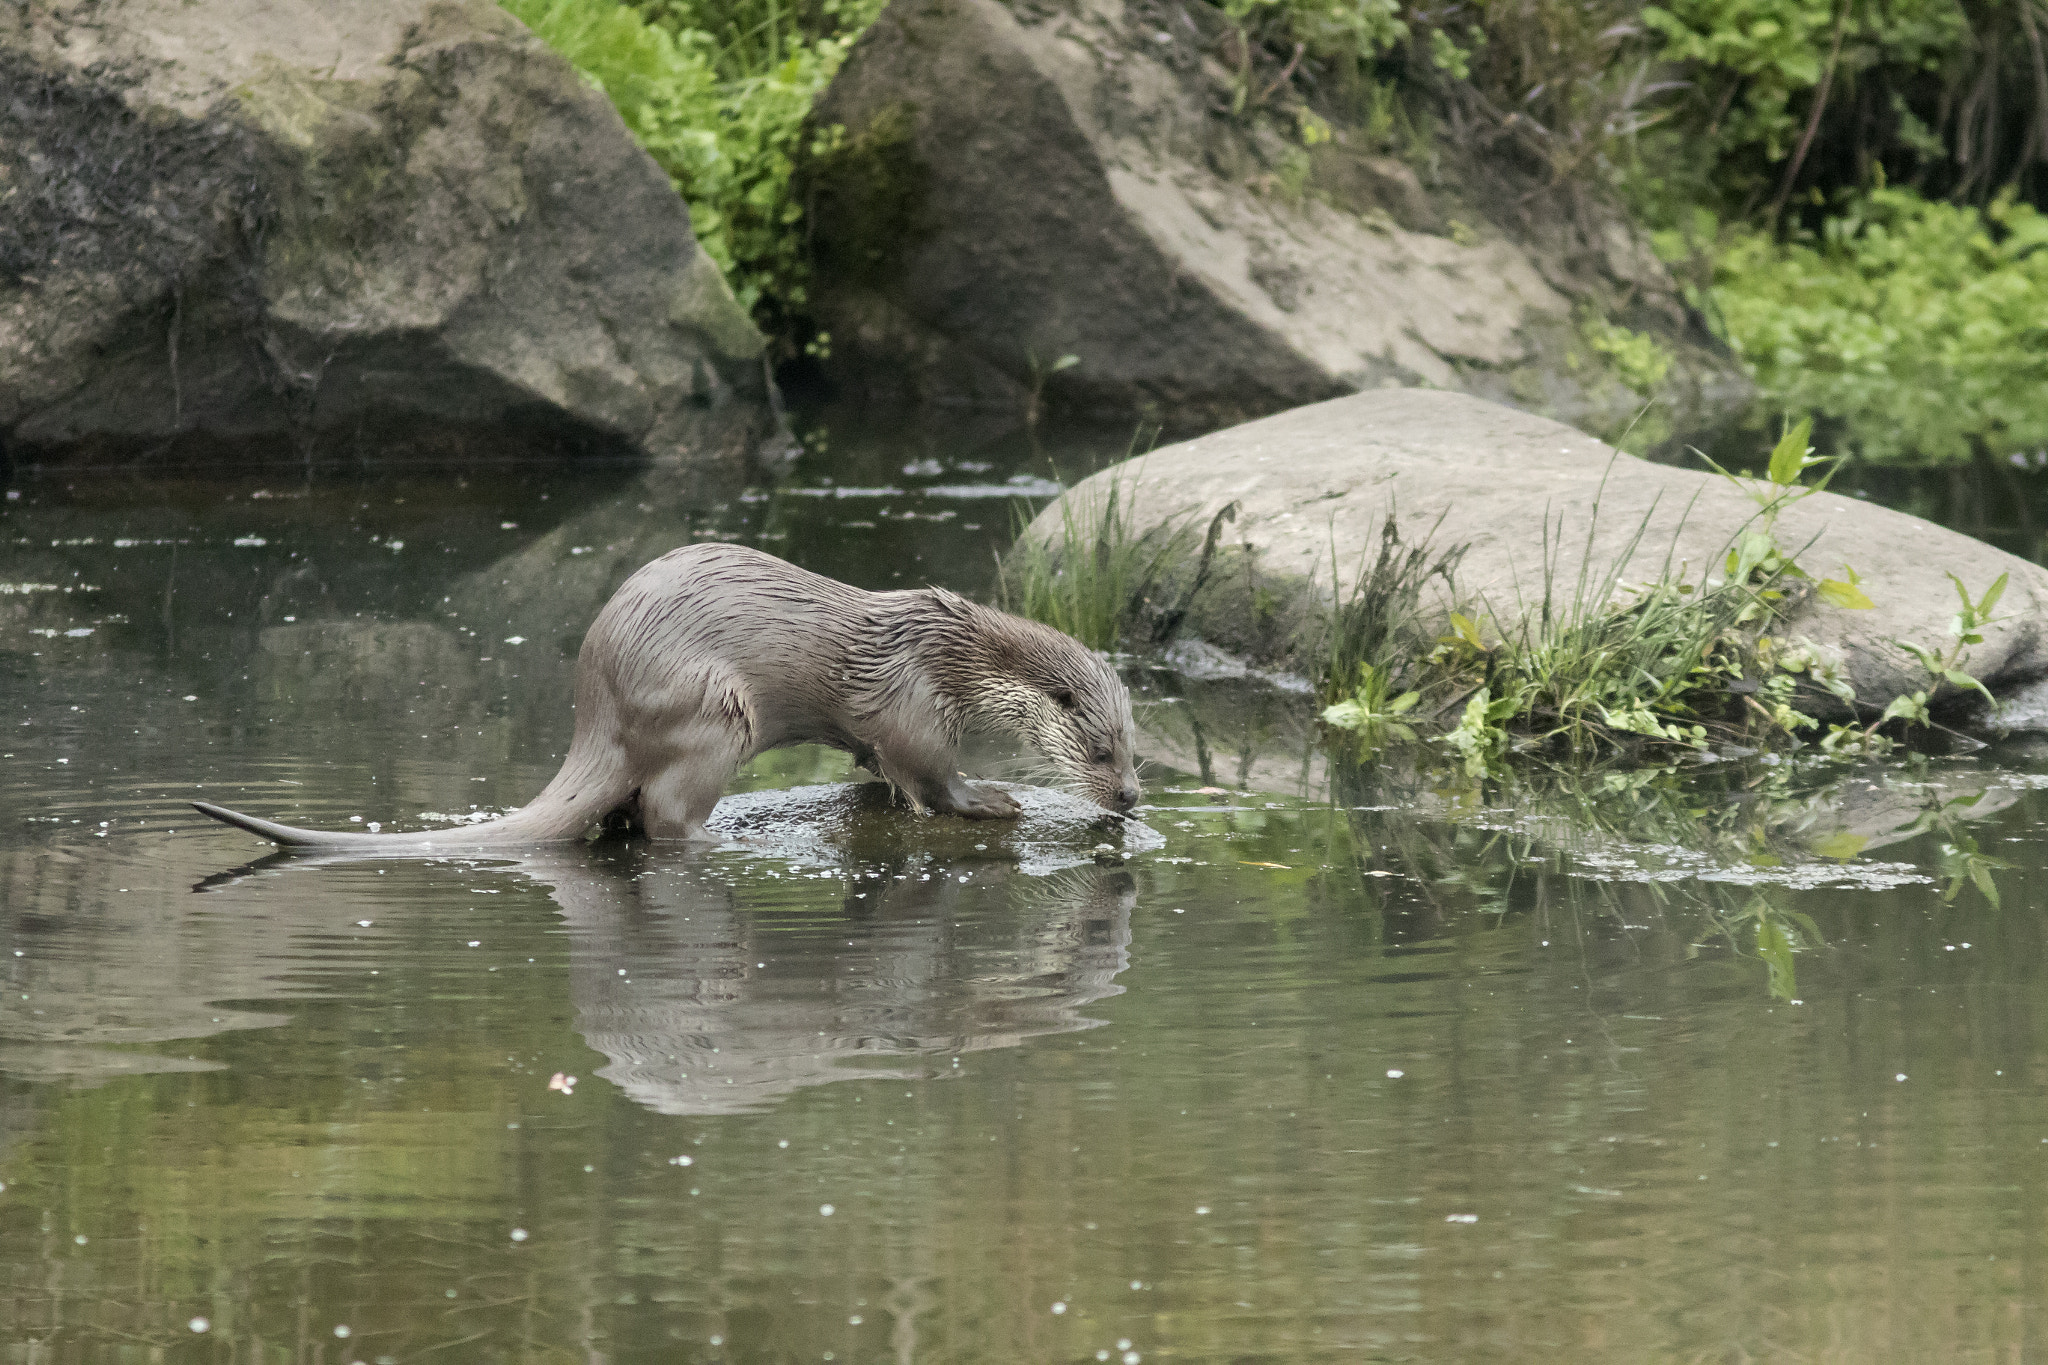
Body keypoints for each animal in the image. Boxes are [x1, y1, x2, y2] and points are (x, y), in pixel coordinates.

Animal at [190, 540, 1146, 843]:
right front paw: (993, 798)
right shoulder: (914, 707)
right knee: (662, 815)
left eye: (1137, 751)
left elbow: (877, 766)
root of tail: (596, 708)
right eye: (1098, 750)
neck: (952, 655)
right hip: (715, 709)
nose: (1132, 797)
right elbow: (931, 777)